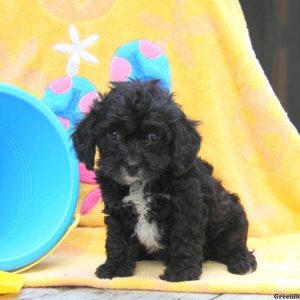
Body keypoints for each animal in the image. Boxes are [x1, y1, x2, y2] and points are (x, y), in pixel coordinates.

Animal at [71, 79, 256, 282]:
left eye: (154, 137)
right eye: (113, 134)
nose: (132, 165)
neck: (141, 183)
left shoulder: (188, 206)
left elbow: (185, 237)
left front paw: (182, 272)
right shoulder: (117, 208)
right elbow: (118, 240)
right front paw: (115, 267)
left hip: (232, 217)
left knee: (236, 244)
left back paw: (242, 262)